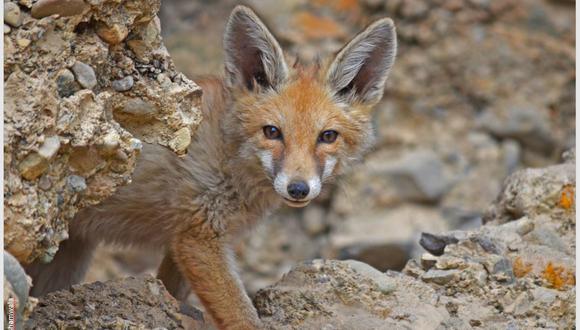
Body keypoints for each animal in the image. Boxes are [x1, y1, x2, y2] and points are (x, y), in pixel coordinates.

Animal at [26, 5, 398, 330]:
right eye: (272, 132)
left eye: (327, 136)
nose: (298, 189)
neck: (229, 160)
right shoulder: (199, 236)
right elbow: (242, 317)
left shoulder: (184, 241)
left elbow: (173, 293)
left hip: (69, 256)